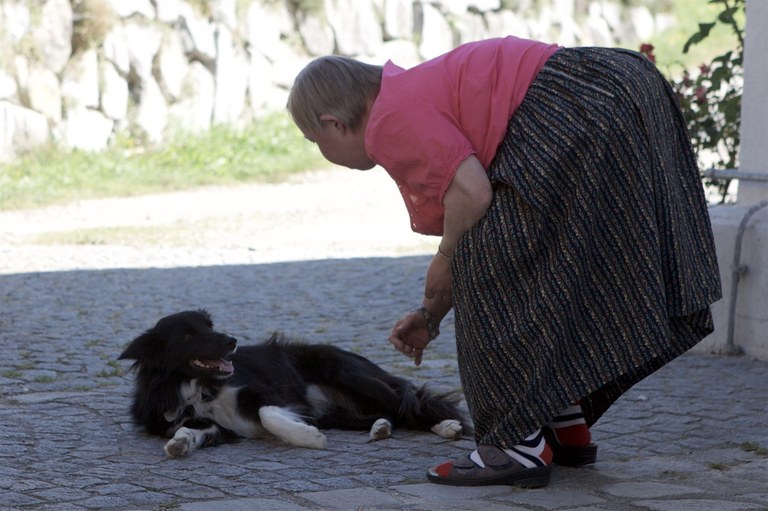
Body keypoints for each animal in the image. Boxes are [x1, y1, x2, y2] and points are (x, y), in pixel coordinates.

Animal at [120, 310, 468, 458]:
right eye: (189, 335)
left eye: (210, 325)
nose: (232, 341)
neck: (196, 386)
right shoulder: (211, 424)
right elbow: (187, 430)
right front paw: (179, 443)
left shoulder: (268, 393)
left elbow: (267, 415)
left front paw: (307, 438)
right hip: (337, 411)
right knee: (393, 413)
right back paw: (381, 428)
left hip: (350, 374)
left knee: (412, 401)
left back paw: (448, 426)